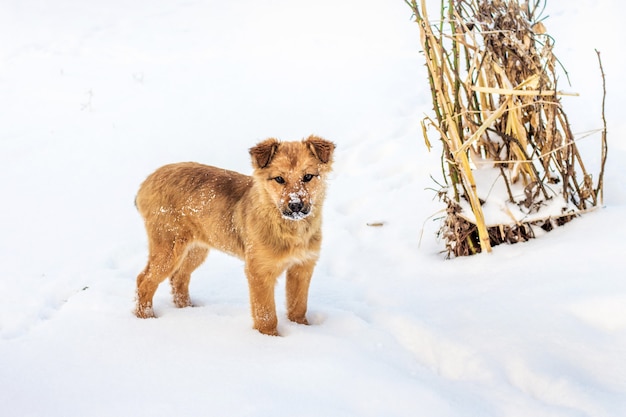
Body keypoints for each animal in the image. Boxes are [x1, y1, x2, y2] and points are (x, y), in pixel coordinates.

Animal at [134, 136, 334, 334]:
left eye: (308, 177)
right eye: (279, 179)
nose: (295, 206)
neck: (290, 228)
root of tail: (147, 181)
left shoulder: (302, 267)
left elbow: (298, 305)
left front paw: (302, 328)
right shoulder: (259, 271)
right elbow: (266, 313)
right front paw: (270, 337)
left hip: (196, 249)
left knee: (179, 278)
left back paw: (188, 310)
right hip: (169, 248)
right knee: (144, 280)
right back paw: (145, 317)